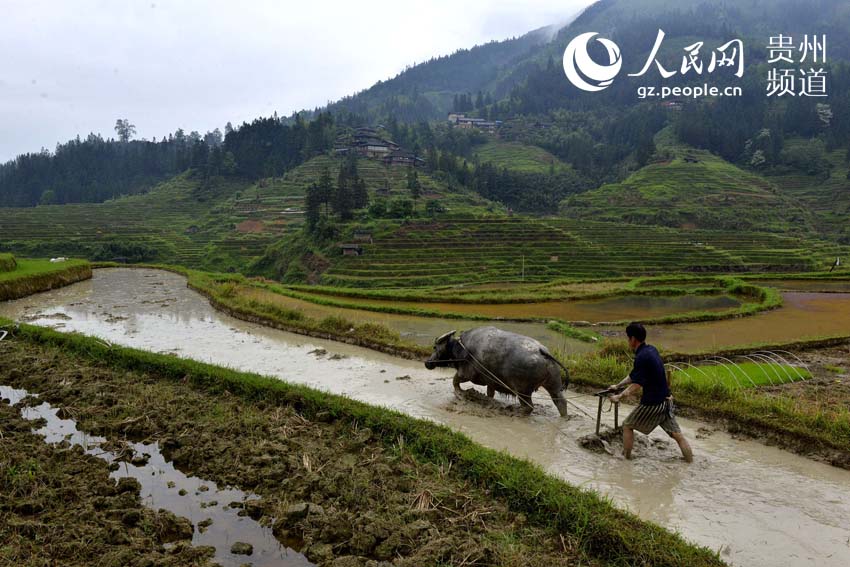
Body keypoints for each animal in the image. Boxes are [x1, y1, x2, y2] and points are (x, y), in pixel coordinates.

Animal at [424, 328, 568, 418]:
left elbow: (454, 381)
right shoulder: (491, 382)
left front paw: (460, 394)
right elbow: (490, 394)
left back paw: (516, 413)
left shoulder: (466, 374)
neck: (462, 349)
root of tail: (542, 351)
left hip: (523, 390)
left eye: (435, 347)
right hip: (554, 384)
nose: (427, 363)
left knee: (529, 407)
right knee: (560, 402)